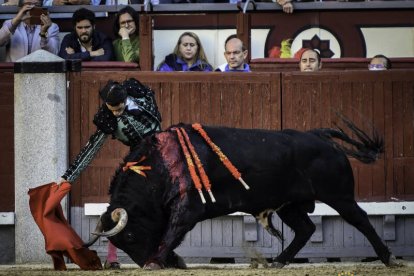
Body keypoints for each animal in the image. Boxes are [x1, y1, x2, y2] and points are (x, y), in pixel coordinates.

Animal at [86, 122, 398, 268]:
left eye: (129, 236)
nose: (141, 262)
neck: (161, 163)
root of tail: (320, 136)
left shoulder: (187, 208)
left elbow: (171, 233)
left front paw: (156, 261)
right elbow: (168, 235)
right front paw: (172, 261)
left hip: (339, 195)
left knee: (360, 220)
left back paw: (388, 258)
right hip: (289, 205)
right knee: (305, 229)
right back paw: (279, 260)